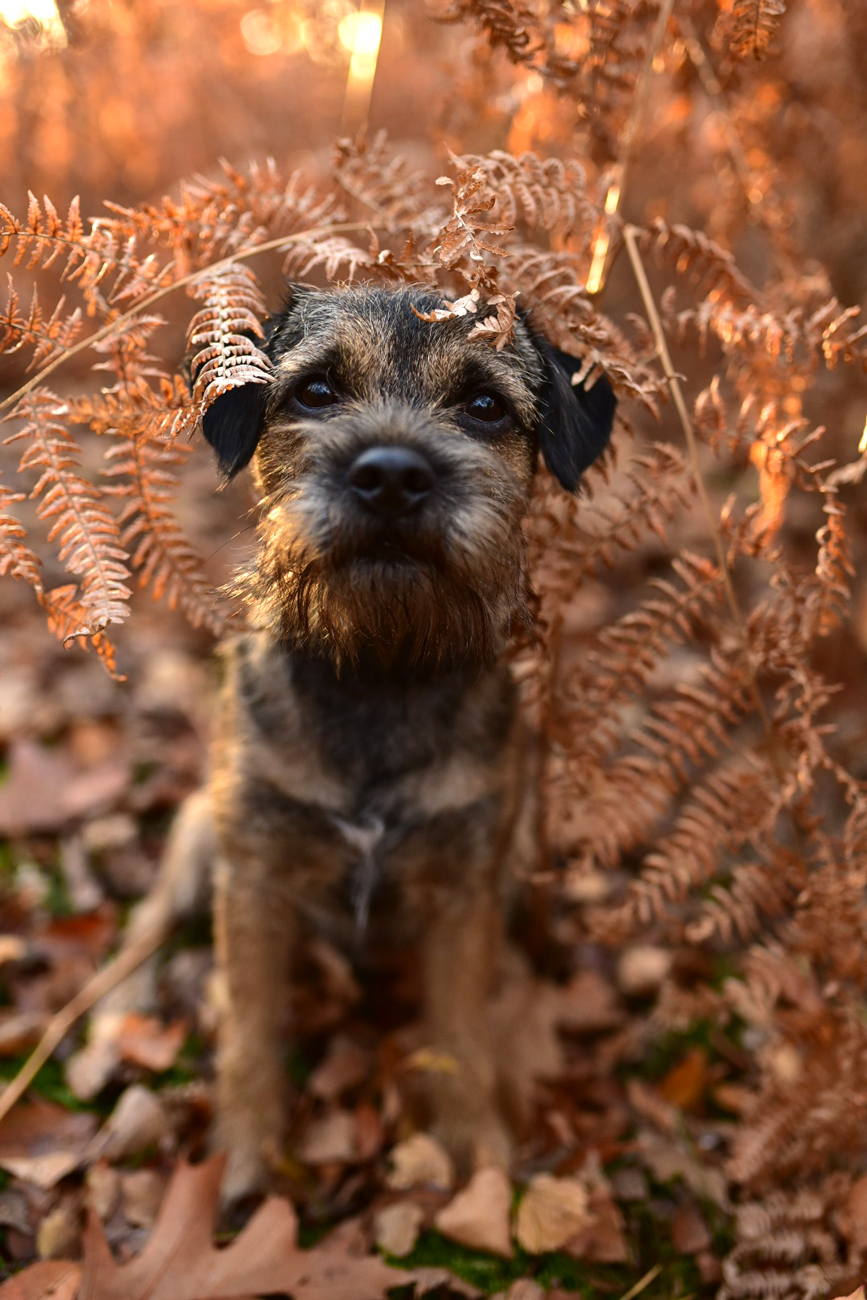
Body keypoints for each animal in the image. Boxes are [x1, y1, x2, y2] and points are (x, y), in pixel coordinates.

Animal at [115, 282, 613, 1196]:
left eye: (484, 406)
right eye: (315, 391)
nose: (390, 476)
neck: (378, 664)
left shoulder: (463, 896)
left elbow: (461, 1031)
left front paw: (476, 1148)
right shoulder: (254, 882)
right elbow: (249, 1030)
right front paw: (246, 1153)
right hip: (199, 839)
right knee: (145, 932)